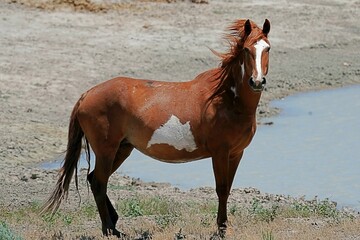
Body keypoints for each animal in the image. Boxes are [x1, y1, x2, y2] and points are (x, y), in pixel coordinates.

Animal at [42, 18, 270, 236]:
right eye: (247, 50)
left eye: (267, 48)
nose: (257, 81)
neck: (225, 99)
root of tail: (87, 94)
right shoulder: (220, 153)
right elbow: (221, 189)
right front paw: (221, 229)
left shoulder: (236, 153)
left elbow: (228, 189)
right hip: (106, 150)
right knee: (99, 182)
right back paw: (109, 229)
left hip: (122, 148)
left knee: (94, 179)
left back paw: (114, 226)